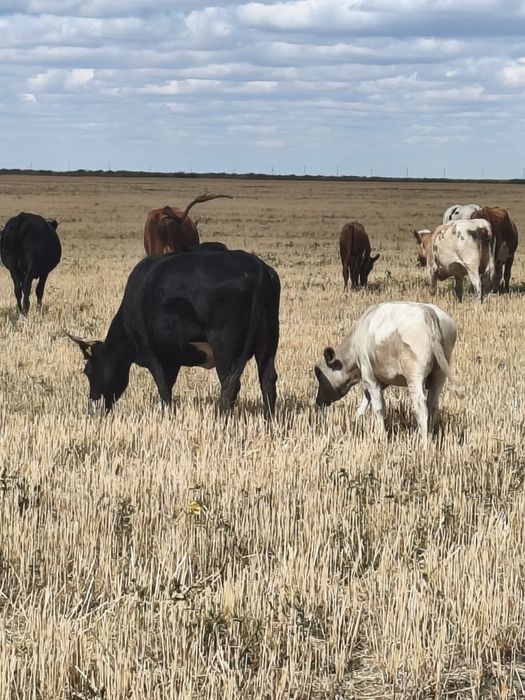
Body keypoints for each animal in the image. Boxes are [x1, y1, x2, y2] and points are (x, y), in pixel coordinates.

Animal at [68, 243, 280, 417]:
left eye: (88, 371)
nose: (92, 409)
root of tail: (256, 266)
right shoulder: (173, 357)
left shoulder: (150, 351)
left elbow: (163, 387)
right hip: (268, 341)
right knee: (267, 380)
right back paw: (269, 421)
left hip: (224, 346)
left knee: (230, 385)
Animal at [314, 302, 463, 448]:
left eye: (320, 375)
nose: (318, 401)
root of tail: (426, 311)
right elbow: (364, 403)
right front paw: (355, 422)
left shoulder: (369, 376)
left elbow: (378, 407)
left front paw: (381, 437)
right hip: (439, 375)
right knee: (433, 405)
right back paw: (430, 436)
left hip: (415, 377)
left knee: (421, 407)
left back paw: (424, 444)